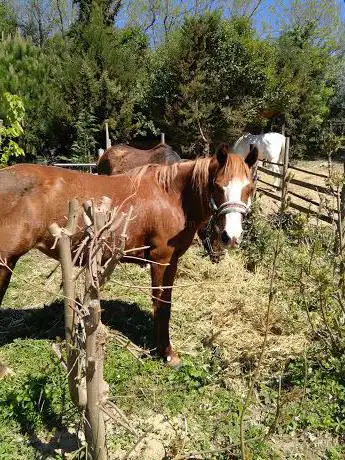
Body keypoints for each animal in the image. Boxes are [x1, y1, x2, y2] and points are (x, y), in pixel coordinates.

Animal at [0, 144, 256, 366]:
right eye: (218, 186)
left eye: (249, 189)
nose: (231, 237)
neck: (172, 196)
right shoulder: (161, 260)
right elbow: (162, 306)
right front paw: (167, 353)